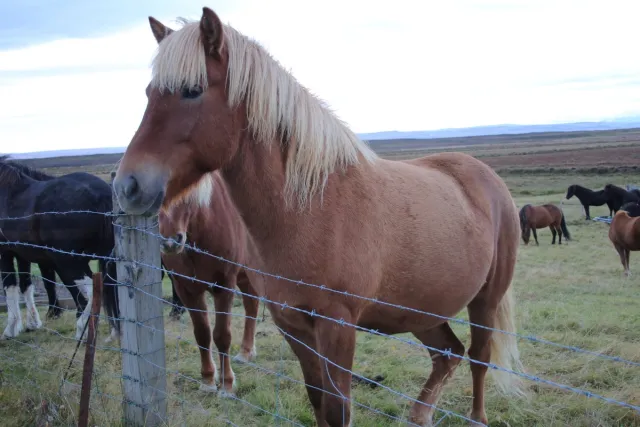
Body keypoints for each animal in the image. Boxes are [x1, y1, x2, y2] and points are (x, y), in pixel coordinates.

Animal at [0, 156, 119, 342]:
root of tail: (101, 194)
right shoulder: (22, 254)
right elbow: (26, 285)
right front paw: (32, 323)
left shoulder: (5, 253)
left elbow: (10, 286)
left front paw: (10, 330)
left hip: (68, 261)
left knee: (91, 289)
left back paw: (82, 330)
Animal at [158, 171, 260, 395]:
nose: (170, 242)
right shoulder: (186, 289)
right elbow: (202, 334)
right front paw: (207, 380)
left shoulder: (224, 286)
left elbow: (222, 335)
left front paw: (227, 384)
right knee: (251, 305)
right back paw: (246, 351)